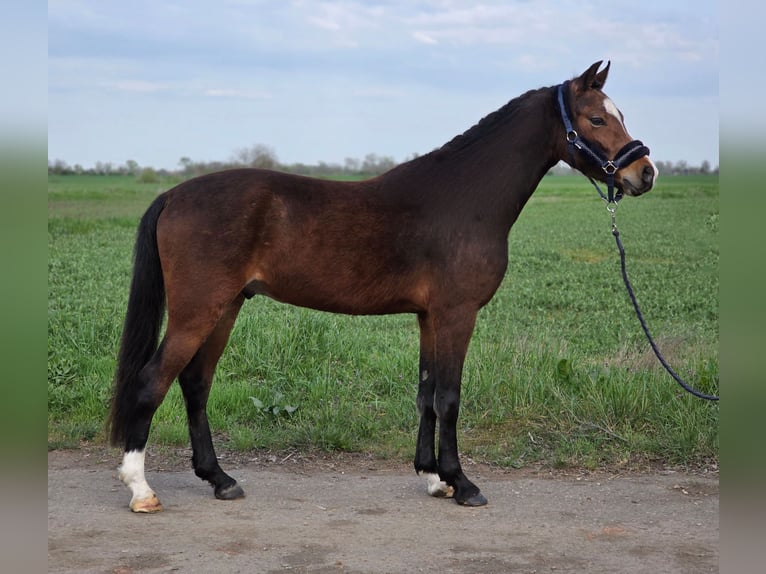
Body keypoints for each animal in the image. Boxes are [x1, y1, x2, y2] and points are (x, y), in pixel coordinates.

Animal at [108, 61, 656, 512]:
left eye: (617, 114)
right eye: (596, 120)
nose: (644, 172)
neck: (465, 198)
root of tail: (174, 195)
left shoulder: (429, 317)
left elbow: (426, 393)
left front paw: (434, 478)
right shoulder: (457, 314)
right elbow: (449, 397)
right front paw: (463, 484)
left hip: (224, 308)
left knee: (195, 383)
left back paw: (219, 479)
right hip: (198, 310)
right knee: (152, 380)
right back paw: (141, 489)